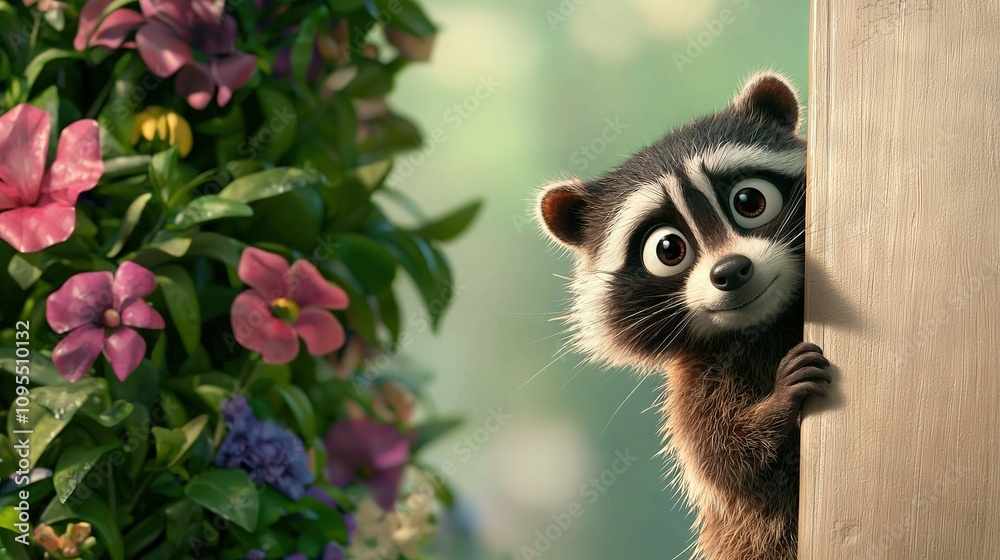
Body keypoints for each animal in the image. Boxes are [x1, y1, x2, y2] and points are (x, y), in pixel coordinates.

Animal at [536, 73, 831, 560]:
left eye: (750, 202)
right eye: (668, 249)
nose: (730, 270)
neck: (760, 323)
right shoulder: (693, 381)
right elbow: (726, 462)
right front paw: (777, 404)